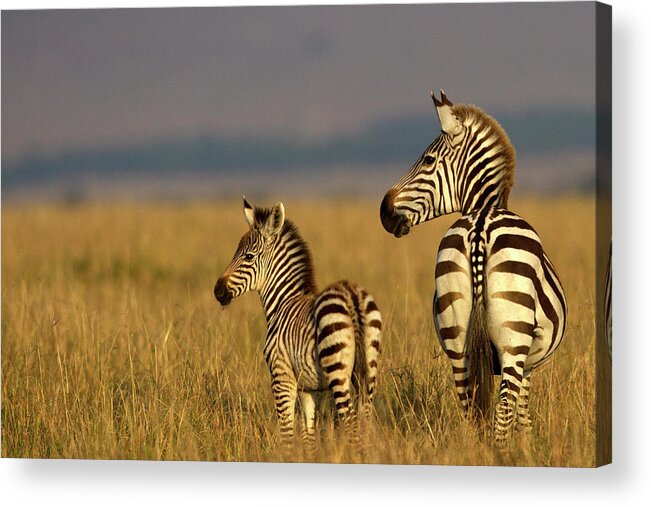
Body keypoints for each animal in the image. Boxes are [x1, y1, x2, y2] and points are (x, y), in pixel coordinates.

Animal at [213, 198, 382, 452]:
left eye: (249, 257)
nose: (218, 291)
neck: (284, 301)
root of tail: (351, 295)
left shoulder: (281, 375)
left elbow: (287, 431)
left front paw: (287, 455)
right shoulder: (310, 387)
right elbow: (308, 433)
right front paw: (308, 455)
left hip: (337, 370)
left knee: (351, 422)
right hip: (368, 370)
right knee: (365, 421)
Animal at [380, 91, 568, 444]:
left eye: (427, 160)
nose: (384, 211)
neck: (484, 206)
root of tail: (481, 225)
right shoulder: (529, 363)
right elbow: (522, 413)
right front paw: (527, 447)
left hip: (455, 333)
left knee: (469, 406)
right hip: (513, 340)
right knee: (502, 409)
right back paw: (501, 451)